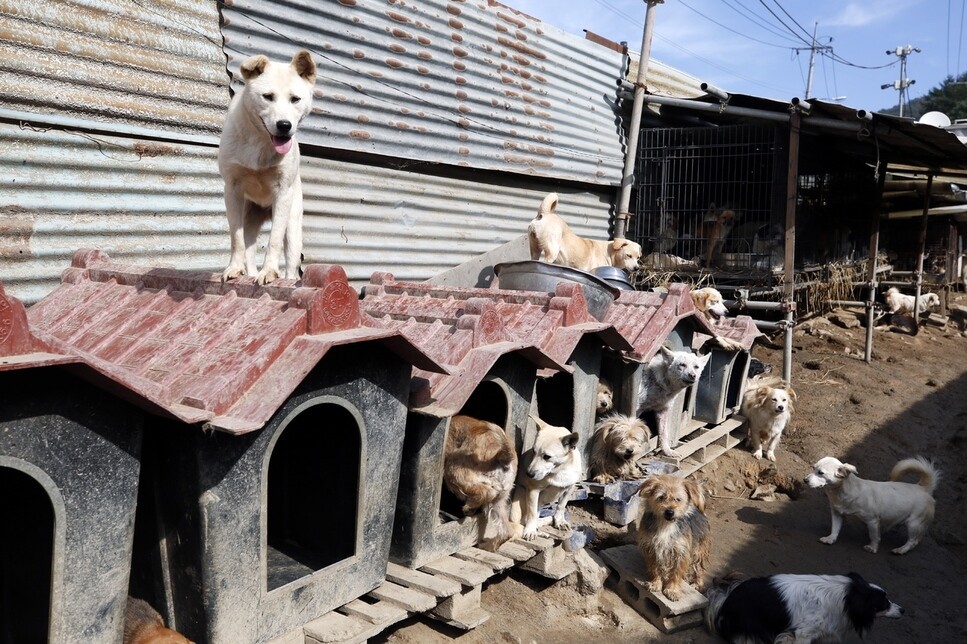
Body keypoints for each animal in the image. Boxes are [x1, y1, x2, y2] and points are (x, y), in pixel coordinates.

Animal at [217, 47, 316, 284]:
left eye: (295, 99)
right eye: (268, 97)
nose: (284, 125)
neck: (260, 141)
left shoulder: (283, 193)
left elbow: (274, 240)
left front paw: (270, 271)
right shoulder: (232, 190)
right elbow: (236, 238)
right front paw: (234, 268)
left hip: (293, 223)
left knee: (291, 263)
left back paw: (286, 278)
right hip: (249, 218)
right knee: (249, 248)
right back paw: (250, 272)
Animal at [446, 418, 520, 548]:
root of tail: (501, 456)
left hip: (454, 471)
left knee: (487, 492)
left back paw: (468, 508)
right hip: (500, 499)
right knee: (507, 532)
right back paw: (488, 546)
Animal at [516, 412, 584, 540]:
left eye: (547, 457)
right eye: (533, 451)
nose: (529, 474)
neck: (560, 470)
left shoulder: (569, 489)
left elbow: (561, 506)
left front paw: (559, 521)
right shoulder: (533, 491)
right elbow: (532, 514)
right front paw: (530, 530)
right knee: (525, 520)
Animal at [640, 472, 716, 604]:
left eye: (678, 499)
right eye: (661, 497)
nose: (669, 512)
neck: (666, 525)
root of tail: (698, 509)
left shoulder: (680, 552)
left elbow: (676, 573)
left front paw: (672, 590)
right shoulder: (651, 548)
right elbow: (654, 568)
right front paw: (655, 583)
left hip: (699, 550)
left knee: (699, 568)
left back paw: (697, 583)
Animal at [804, 456, 940, 556]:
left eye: (821, 473)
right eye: (813, 468)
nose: (805, 480)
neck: (842, 491)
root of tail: (923, 488)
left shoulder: (872, 521)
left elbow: (874, 536)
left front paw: (873, 547)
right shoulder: (837, 513)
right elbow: (835, 528)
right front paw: (831, 538)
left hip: (914, 523)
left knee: (913, 541)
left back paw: (901, 549)